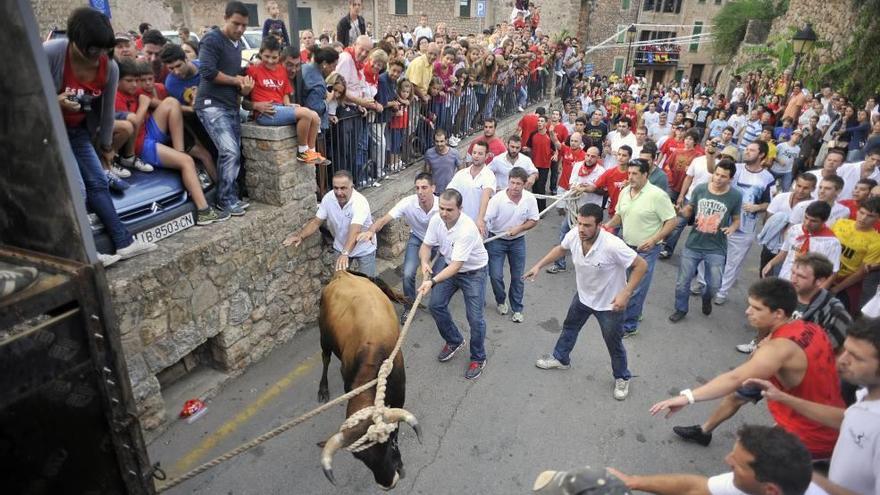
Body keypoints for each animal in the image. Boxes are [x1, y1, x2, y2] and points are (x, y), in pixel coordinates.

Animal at [318, 274, 422, 490]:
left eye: (391, 444)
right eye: (360, 459)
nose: (388, 483)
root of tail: (343, 274)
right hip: (324, 335)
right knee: (325, 357)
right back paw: (322, 389)